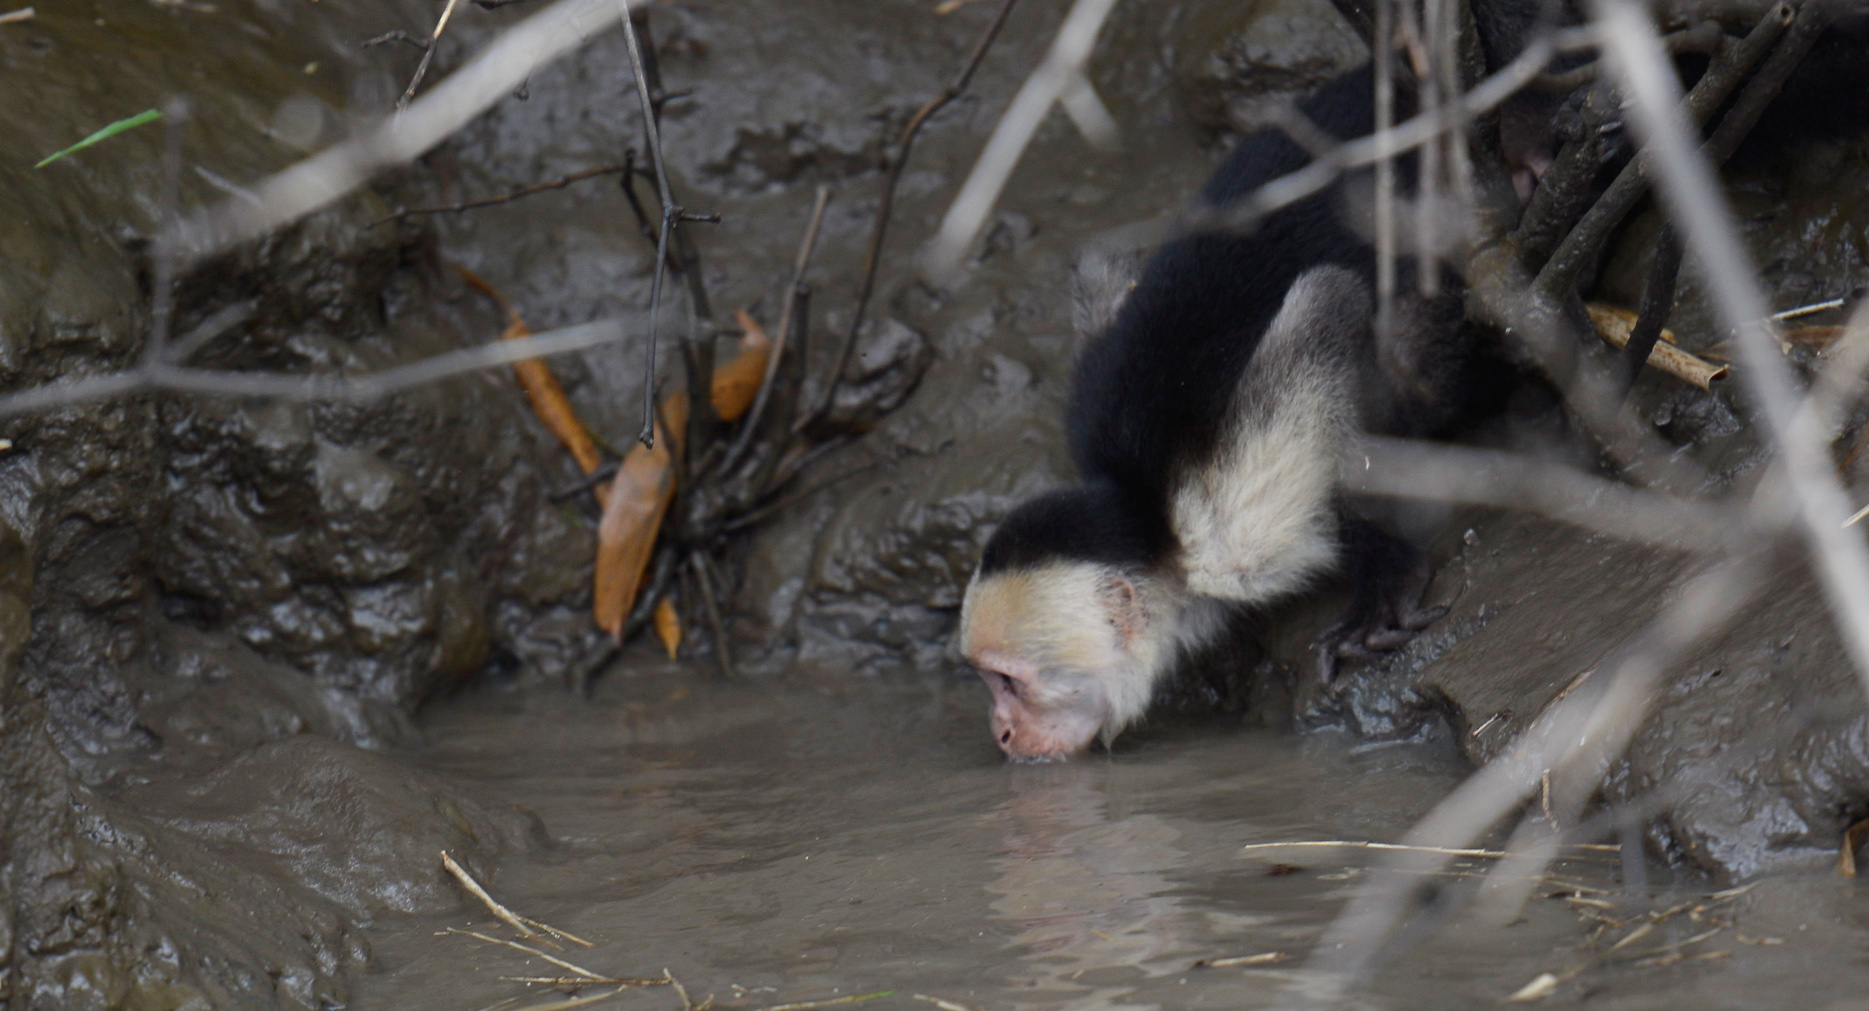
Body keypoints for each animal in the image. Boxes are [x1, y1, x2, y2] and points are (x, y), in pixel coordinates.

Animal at [956, 66, 1495, 762]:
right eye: (986, 680)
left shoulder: (1233, 533)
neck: (1153, 520)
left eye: (1009, 682)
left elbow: (1330, 300)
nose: (1001, 731)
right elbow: (1099, 268)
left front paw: (1384, 572)